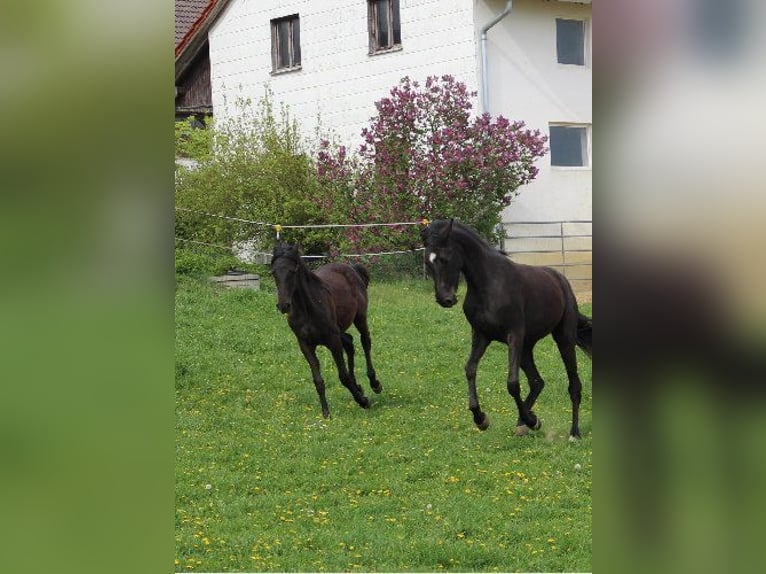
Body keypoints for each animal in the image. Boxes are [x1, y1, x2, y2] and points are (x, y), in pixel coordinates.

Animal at [272, 243, 382, 418]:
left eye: (293, 271)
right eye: (273, 272)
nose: (283, 305)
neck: (307, 309)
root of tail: (352, 268)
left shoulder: (333, 340)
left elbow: (343, 376)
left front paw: (363, 401)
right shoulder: (305, 345)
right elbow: (318, 380)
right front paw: (326, 413)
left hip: (359, 318)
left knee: (365, 341)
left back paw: (374, 383)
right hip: (340, 329)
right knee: (350, 342)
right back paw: (358, 386)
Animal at [420, 220, 592, 440]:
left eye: (444, 258)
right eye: (428, 262)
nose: (445, 299)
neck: (489, 285)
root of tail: (560, 280)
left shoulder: (514, 335)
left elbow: (512, 383)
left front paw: (530, 420)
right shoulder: (481, 336)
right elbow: (470, 369)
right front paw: (481, 419)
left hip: (563, 338)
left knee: (574, 385)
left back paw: (573, 433)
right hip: (527, 348)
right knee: (537, 382)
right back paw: (525, 423)